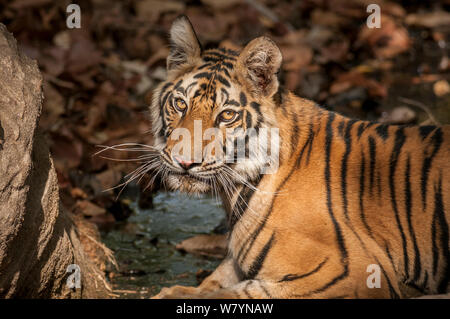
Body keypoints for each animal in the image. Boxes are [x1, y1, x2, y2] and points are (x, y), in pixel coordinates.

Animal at [146, 15, 448, 300]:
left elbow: (235, 292)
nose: (185, 162)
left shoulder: (351, 273)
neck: (240, 189)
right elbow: (214, 282)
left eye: (227, 115)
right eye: (180, 104)